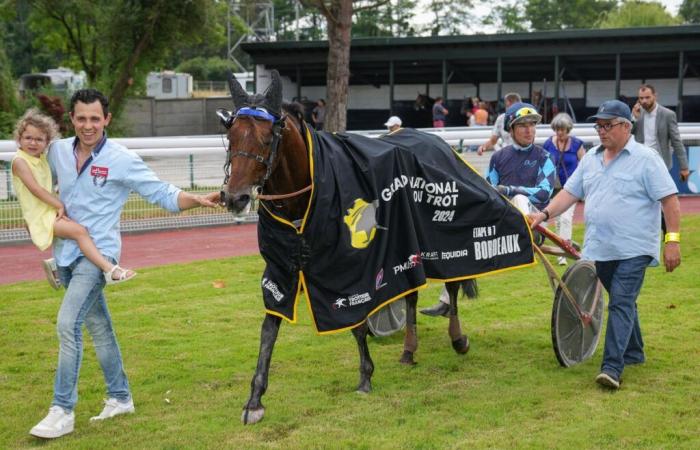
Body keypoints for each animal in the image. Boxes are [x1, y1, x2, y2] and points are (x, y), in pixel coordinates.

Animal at [220, 71, 476, 426]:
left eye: (268, 137)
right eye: (231, 134)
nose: (235, 197)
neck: (307, 194)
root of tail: (438, 143)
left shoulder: (348, 264)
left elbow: (355, 319)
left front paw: (365, 375)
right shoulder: (281, 265)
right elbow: (269, 327)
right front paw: (255, 399)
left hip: (441, 235)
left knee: (452, 282)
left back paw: (457, 338)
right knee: (411, 292)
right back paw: (409, 349)